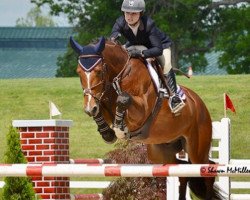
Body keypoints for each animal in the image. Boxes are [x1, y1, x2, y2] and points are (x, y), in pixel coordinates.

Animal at [69, 36, 224, 200]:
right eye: (78, 72)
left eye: (98, 72)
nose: (88, 108)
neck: (120, 75)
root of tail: (200, 103)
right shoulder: (104, 103)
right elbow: (100, 109)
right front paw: (107, 133)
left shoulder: (141, 111)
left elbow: (123, 99)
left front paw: (120, 129)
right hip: (160, 151)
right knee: (183, 169)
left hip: (196, 150)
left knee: (207, 169)